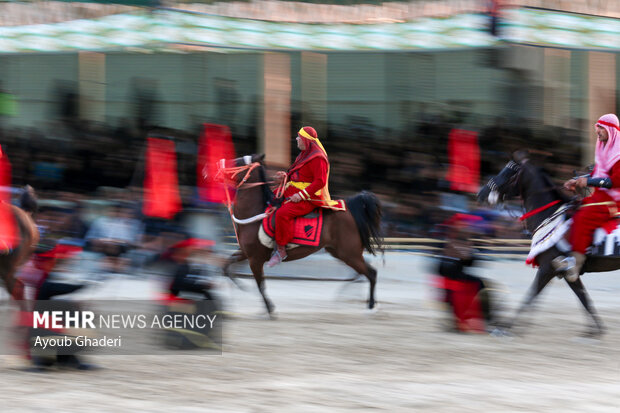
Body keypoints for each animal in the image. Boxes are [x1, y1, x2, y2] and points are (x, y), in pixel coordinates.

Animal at [217, 153, 382, 314]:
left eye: (239, 162)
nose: (219, 166)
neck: (255, 213)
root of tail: (350, 208)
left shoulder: (255, 259)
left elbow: (260, 284)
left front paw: (269, 308)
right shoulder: (245, 253)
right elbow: (226, 267)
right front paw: (240, 288)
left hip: (349, 253)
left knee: (371, 273)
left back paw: (370, 305)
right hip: (339, 252)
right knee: (364, 272)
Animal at [478, 151, 608, 334]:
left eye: (507, 173)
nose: (481, 193)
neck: (549, 216)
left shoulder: (549, 267)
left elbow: (531, 294)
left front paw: (505, 327)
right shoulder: (567, 273)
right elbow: (583, 298)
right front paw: (595, 331)